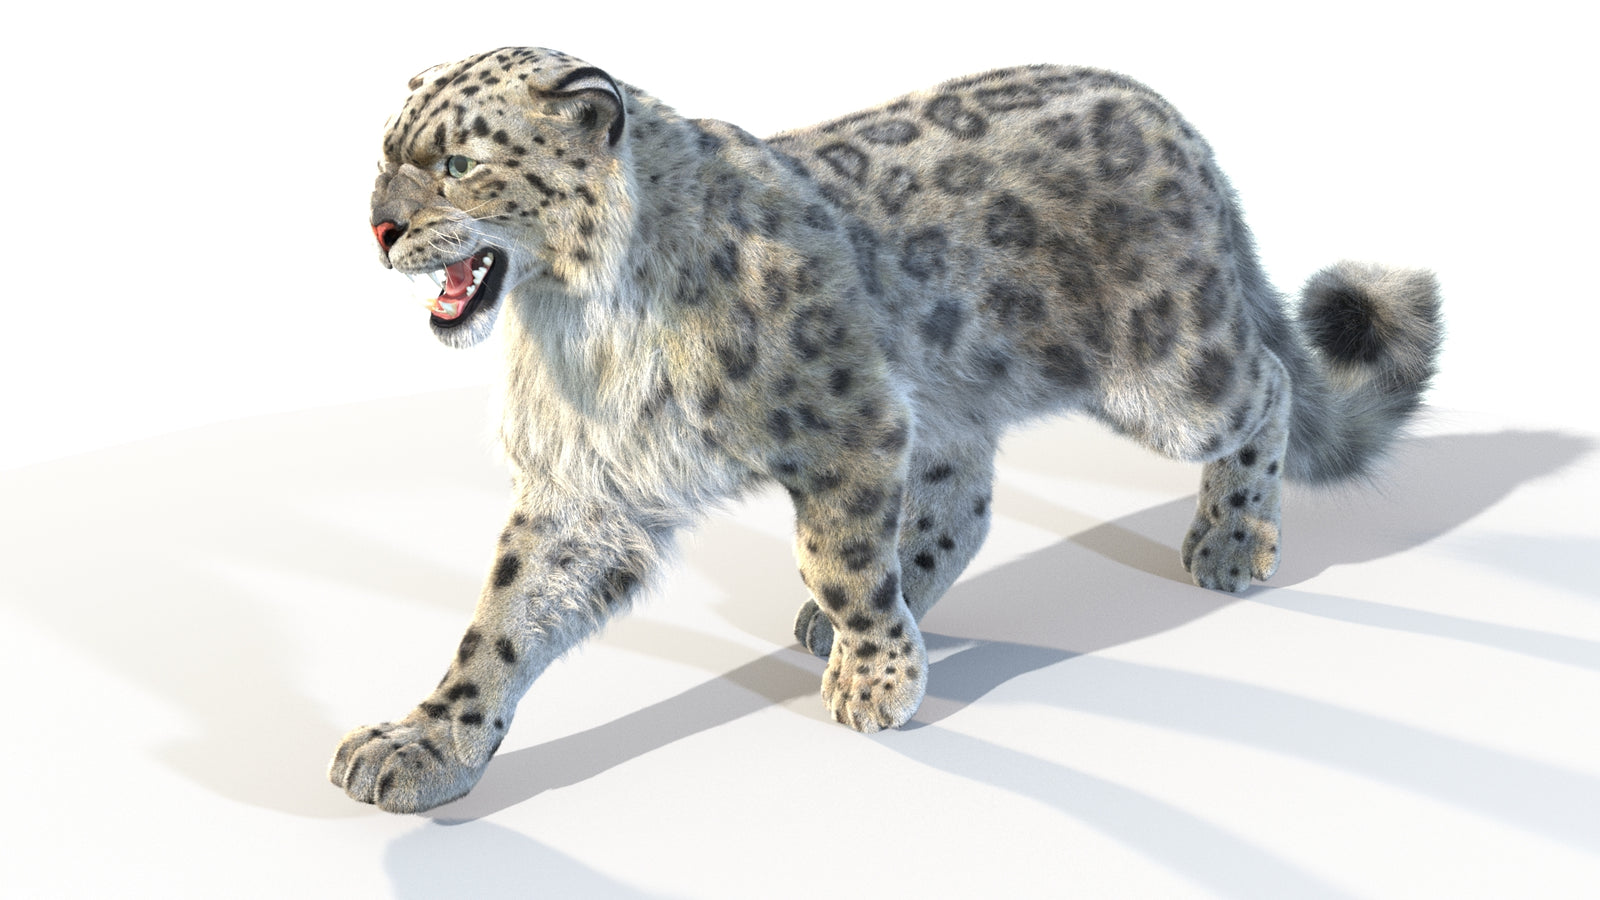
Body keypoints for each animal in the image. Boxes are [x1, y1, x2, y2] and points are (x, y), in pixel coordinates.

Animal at [329, 46, 1442, 813]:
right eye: (384, 157)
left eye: (458, 162)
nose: (379, 227)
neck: (583, 326)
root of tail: (1177, 122)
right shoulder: (587, 490)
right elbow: (502, 621)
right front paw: (422, 747)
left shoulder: (847, 425)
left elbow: (839, 557)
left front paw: (876, 682)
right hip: (956, 387)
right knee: (967, 495)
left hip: (1169, 371)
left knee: (1265, 386)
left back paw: (1233, 540)